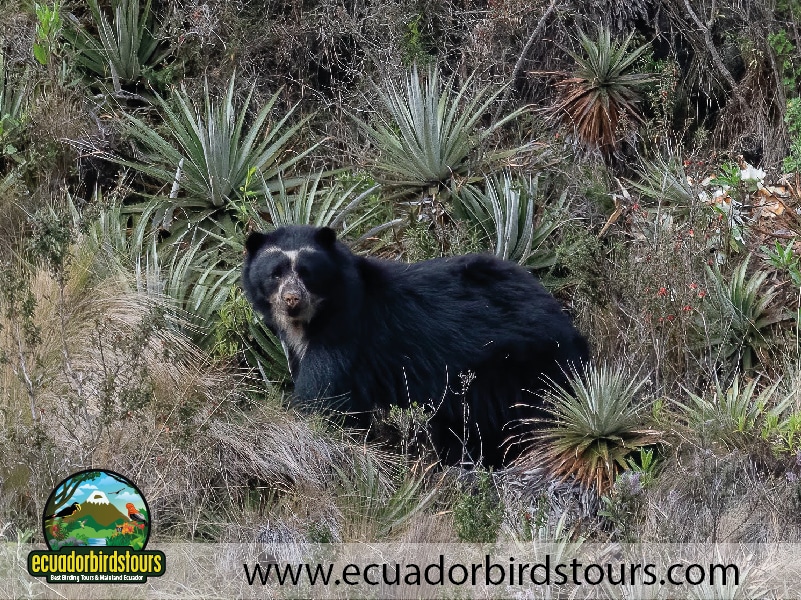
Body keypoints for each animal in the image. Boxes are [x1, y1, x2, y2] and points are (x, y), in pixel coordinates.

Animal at [242, 225, 589, 468]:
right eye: (275, 273)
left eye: (307, 272)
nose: (292, 300)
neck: (310, 322)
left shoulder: (345, 332)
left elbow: (323, 398)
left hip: (521, 365)